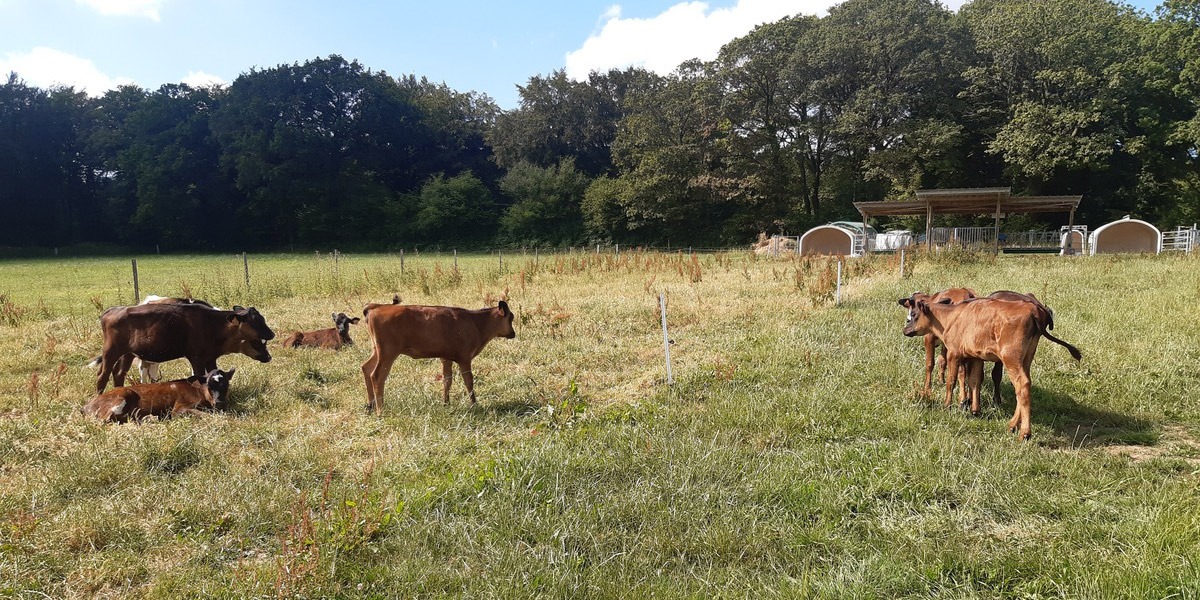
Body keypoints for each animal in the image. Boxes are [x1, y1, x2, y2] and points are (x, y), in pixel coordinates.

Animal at [93, 304, 274, 393]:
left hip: (127, 353)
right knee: (103, 376)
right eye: (256, 321)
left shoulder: (211, 357)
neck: (213, 325)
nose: (272, 334)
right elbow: (199, 377)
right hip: (111, 350)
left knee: (118, 374)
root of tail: (112, 310)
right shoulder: (196, 357)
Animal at [357, 300, 513, 412]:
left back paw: (370, 405)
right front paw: (474, 404)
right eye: (511, 318)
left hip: (377, 351)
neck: (476, 322)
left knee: (366, 368)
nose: (513, 333)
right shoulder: (464, 358)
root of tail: (376, 307)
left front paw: (446, 403)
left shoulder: (446, 358)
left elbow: (447, 380)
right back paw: (380, 410)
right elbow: (469, 381)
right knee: (377, 376)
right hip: (387, 353)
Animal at [902, 296, 1080, 441]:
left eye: (914, 315)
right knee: (1024, 384)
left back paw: (1024, 433)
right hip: (1027, 356)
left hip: (1010, 356)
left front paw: (947, 405)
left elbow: (951, 381)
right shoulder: (975, 356)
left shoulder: (954, 352)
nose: (905, 330)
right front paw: (975, 410)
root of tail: (1034, 310)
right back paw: (1012, 425)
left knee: (1022, 384)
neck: (952, 317)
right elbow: (974, 380)